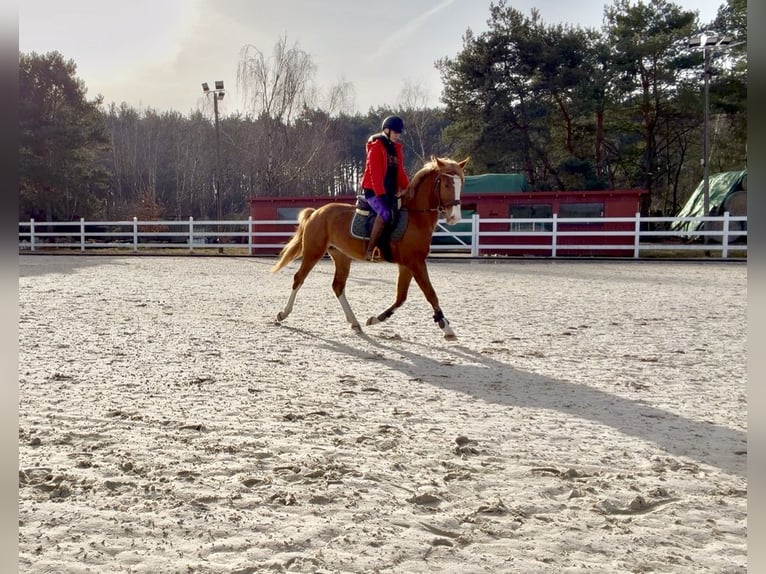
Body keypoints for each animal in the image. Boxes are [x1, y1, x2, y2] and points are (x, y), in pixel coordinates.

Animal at [271, 156, 469, 340]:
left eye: (461, 184)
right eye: (446, 185)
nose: (455, 218)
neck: (415, 217)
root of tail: (316, 212)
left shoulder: (407, 265)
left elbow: (401, 297)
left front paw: (375, 319)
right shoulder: (416, 263)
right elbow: (430, 294)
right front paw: (446, 328)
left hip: (342, 257)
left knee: (338, 286)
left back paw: (355, 323)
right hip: (313, 253)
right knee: (299, 279)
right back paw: (283, 314)